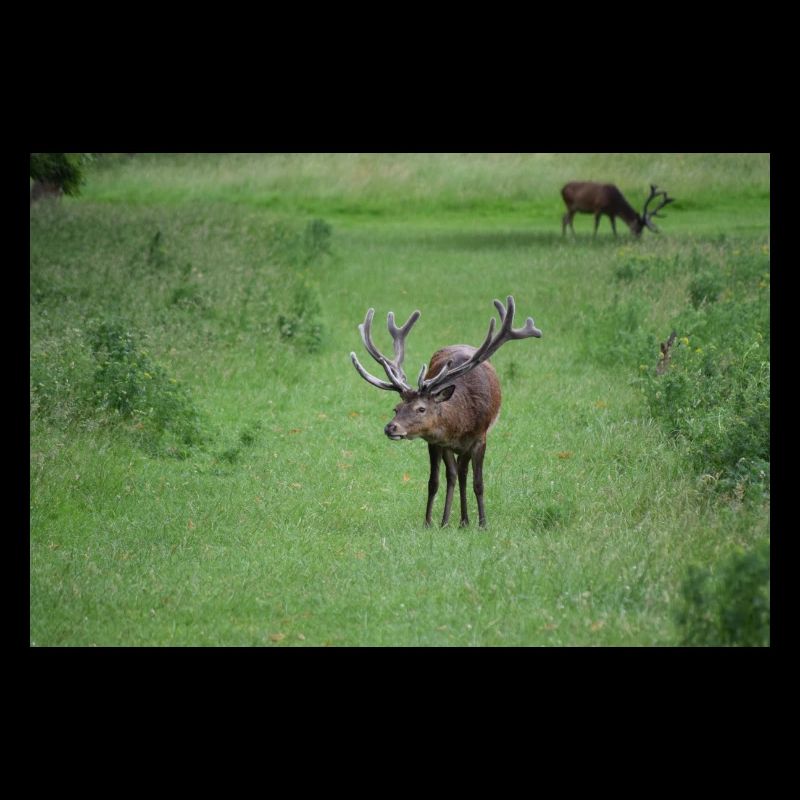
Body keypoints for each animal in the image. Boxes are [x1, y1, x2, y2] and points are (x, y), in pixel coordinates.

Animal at [350, 296, 542, 528]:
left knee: (462, 473)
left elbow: (478, 482)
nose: (390, 427)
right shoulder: (436, 441)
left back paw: (464, 520)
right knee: (454, 474)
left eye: (421, 408)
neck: (461, 422)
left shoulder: (480, 438)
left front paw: (483, 524)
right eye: (396, 408)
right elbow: (434, 481)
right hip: (449, 449)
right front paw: (430, 522)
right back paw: (452, 520)